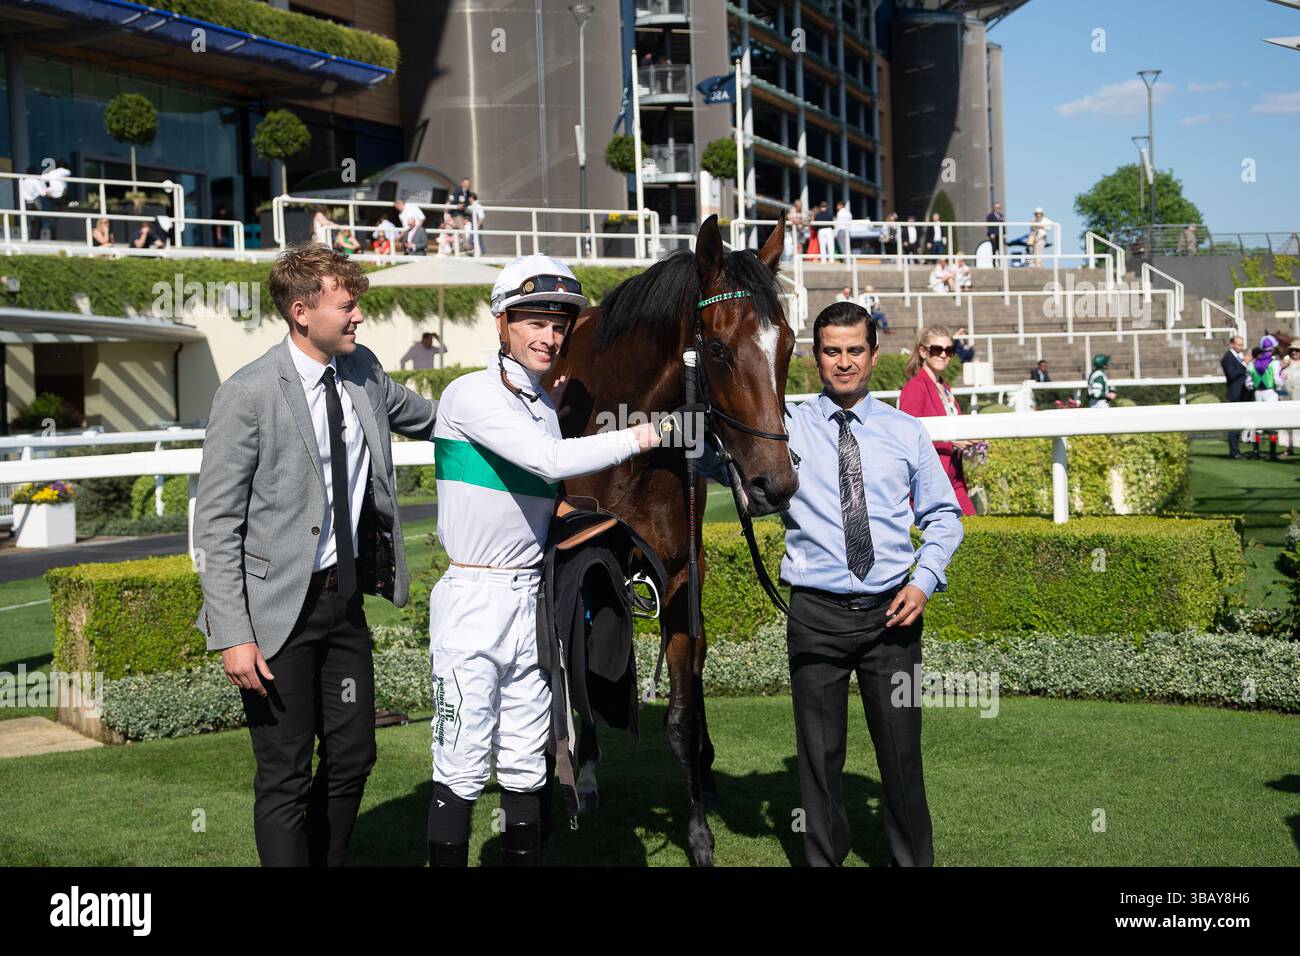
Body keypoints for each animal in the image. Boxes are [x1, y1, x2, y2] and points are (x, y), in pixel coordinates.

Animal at [544, 214, 798, 866]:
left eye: (788, 344)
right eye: (718, 350)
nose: (775, 484)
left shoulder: (683, 569)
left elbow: (683, 710)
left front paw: (699, 831)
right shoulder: (581, 564)